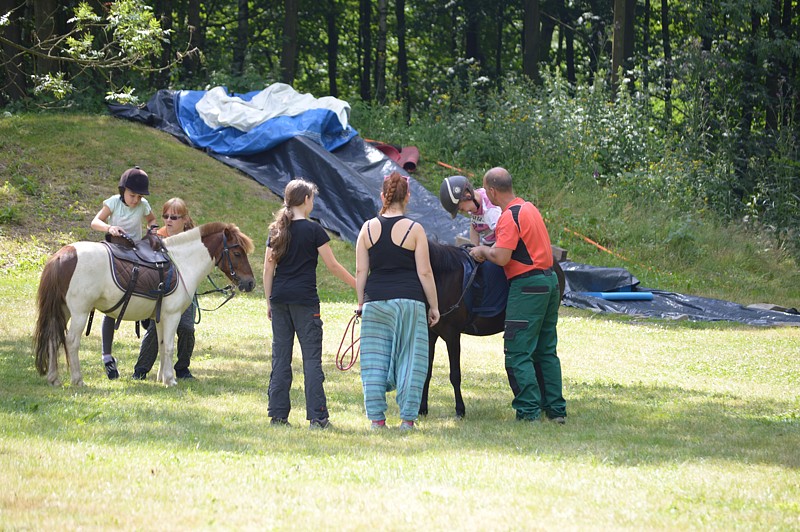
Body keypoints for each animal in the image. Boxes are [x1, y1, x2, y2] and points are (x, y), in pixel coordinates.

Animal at [32, 221, 253, 386]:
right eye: (237, 253)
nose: (250, 283)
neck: (182, 263)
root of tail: (63, 255)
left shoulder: (161, 317)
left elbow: (162, 345)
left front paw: (162, 378)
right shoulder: (172, 315)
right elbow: (170, 346)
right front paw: (170, 380)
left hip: (63, 310)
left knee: (53, 338)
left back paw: (54, 379)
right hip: (80, 312)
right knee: (71, 342)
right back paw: (78, 380)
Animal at [422, 241, 564, 420]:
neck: (441, 279)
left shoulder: (453, 335)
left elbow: (455, 375)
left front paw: (460, 410)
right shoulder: (430, 334)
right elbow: (426, 372)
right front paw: (422, 410)